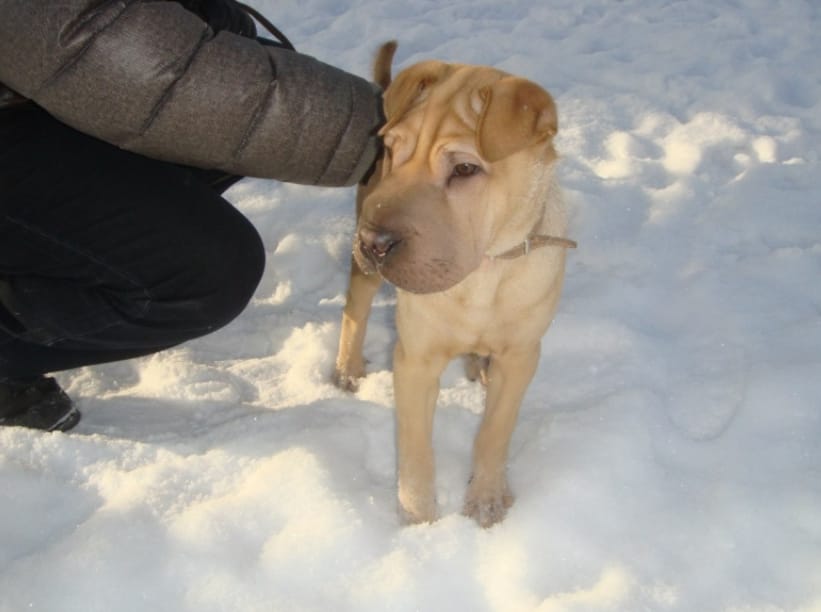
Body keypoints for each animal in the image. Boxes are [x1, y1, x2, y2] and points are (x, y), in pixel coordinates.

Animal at [334, 43, 576, 528]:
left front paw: (486, 500)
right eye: (392, 150)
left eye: (465, 168)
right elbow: (415, 451)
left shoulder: (521, 356)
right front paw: (420, 520)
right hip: (365, 268)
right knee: (356, 308)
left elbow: (494, 431)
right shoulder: (415, 360)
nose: (372, 242)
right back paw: (348, 368)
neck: (483, 273)